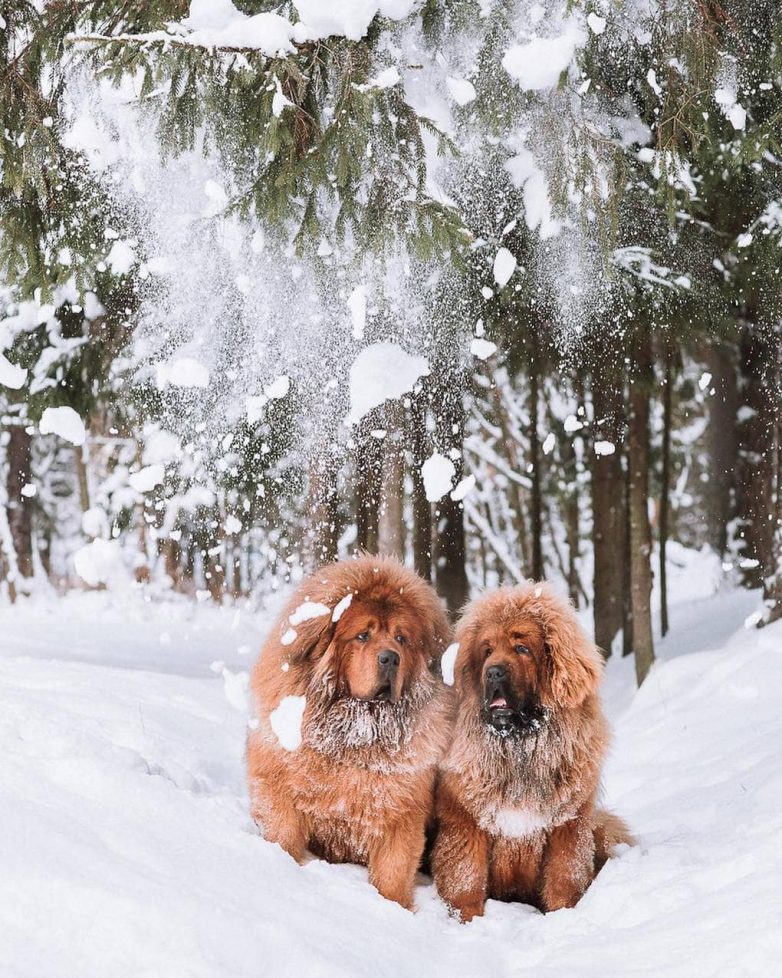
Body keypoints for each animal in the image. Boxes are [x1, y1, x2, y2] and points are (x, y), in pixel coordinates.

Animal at [245, 552, 454, 912]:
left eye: (401, 638)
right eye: (362, 636)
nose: (390, 658)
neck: (356, 735)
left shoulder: (401, 819)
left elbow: (392, 873)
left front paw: (392, 907)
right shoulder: (276, 785)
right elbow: (283, 831)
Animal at [432, 584, 632, 920]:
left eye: (522, 648)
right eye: (487, 650)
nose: (493, 672)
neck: (521, 747)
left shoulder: (568, 824)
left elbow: (564, 879)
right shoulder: (466, 821)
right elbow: (466, 879)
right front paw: (468, 920)